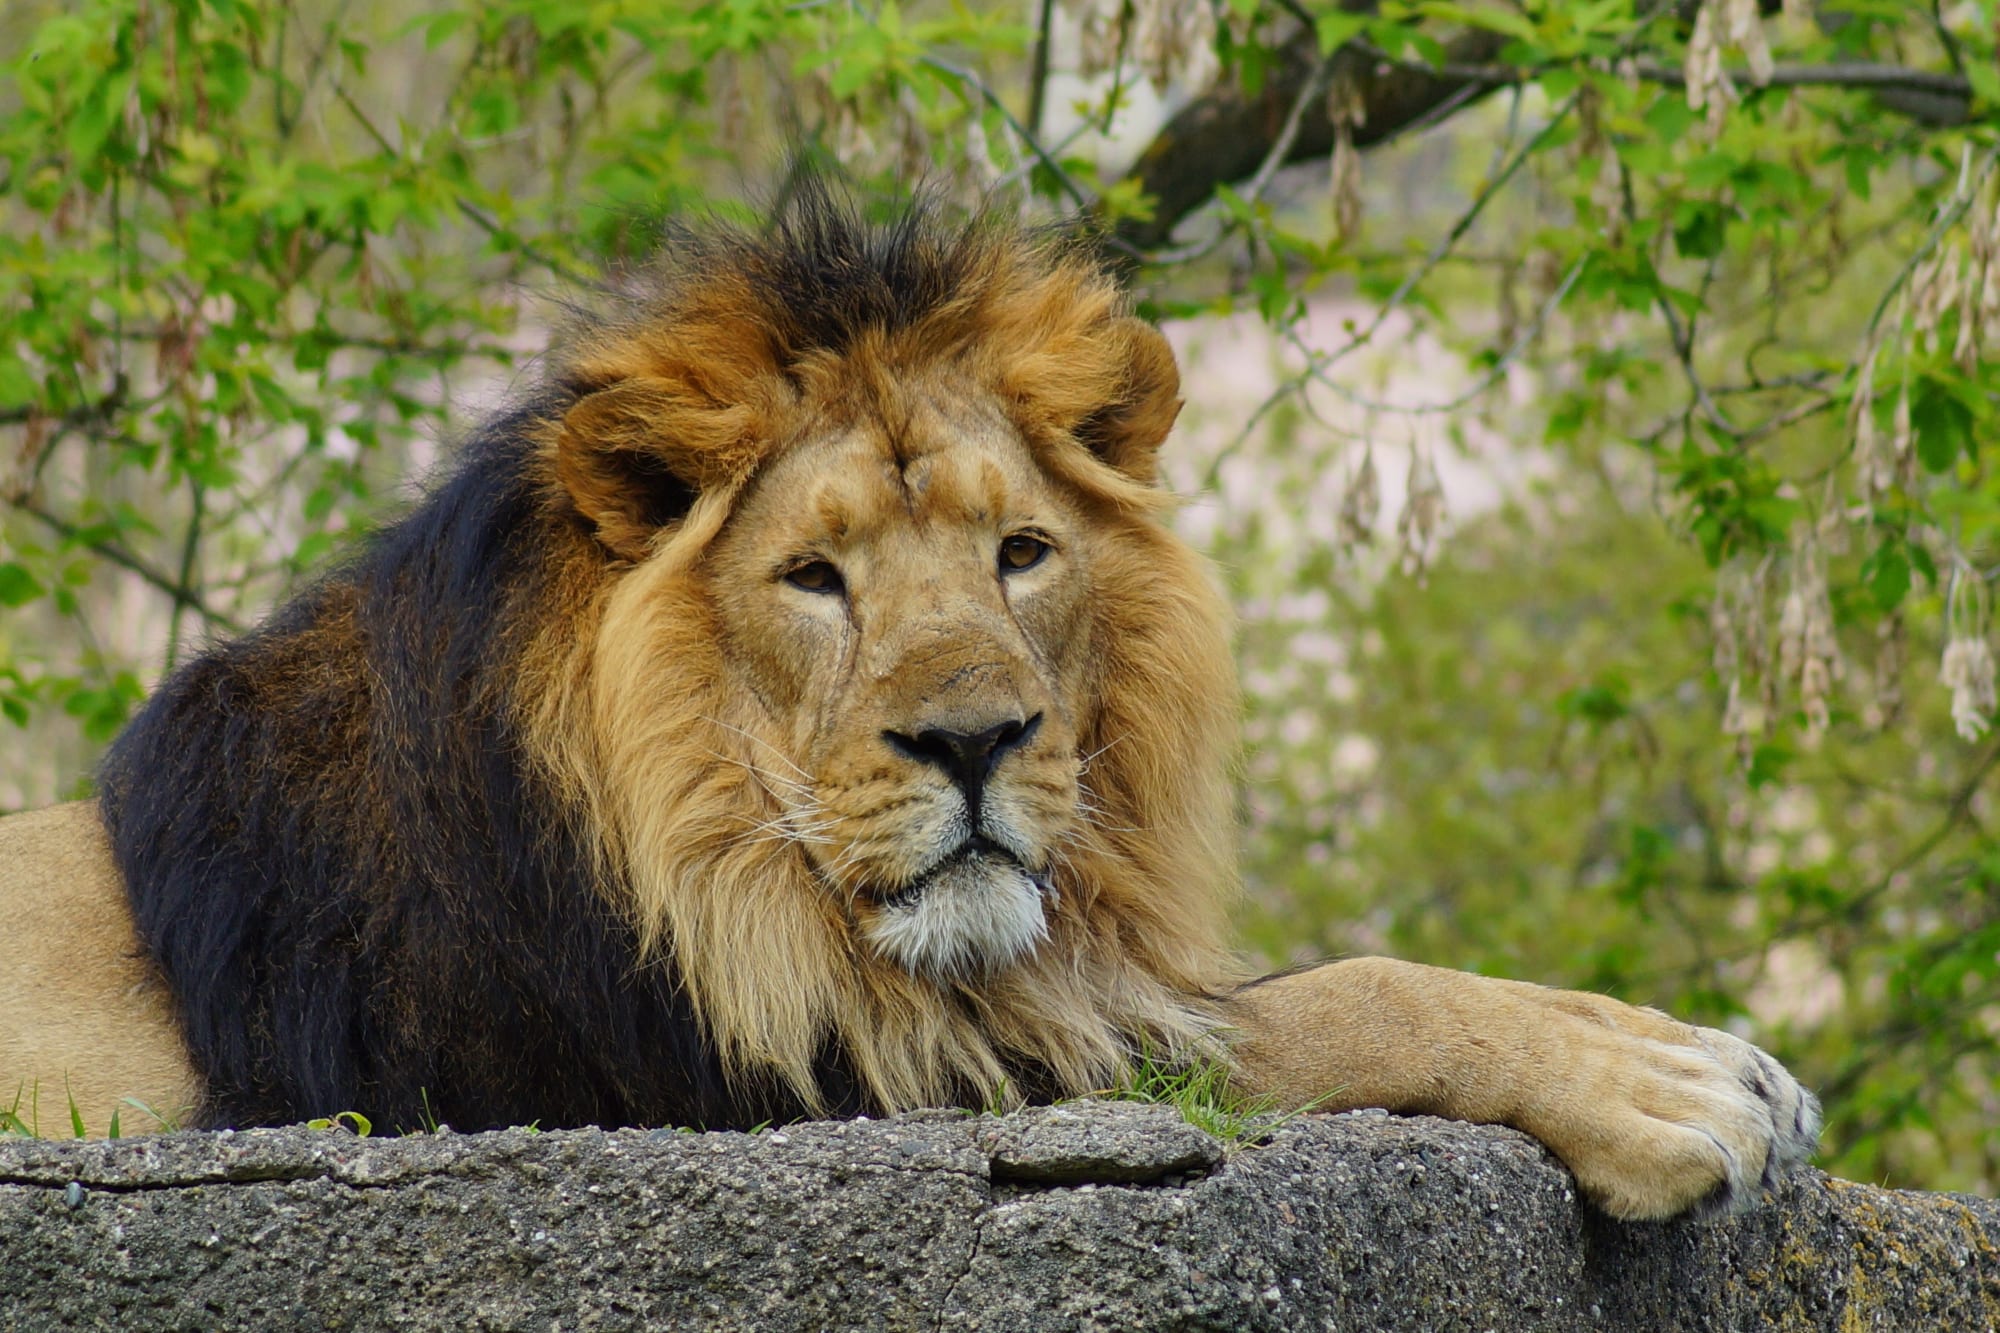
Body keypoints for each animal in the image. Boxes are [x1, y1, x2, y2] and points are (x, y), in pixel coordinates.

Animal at [0, 181, 1817, 1221]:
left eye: (1020, 553)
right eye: (814, 578)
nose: (974, 740)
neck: (708, 850)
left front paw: (1677, 1043)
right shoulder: (724, 1076)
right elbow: (1308, 1006)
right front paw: (1669, 1087)